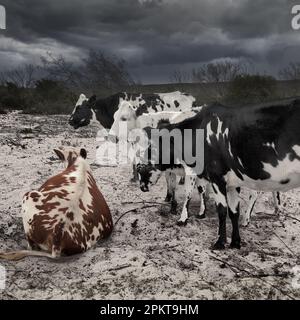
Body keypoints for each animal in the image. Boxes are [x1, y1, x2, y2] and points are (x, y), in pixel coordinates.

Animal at [137, 97, 300, 250]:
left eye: (150, 149)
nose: (142, 187)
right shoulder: (230, 181)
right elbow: (232, 211)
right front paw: (234, 242)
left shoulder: (212, 176)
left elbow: (215, 206)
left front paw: (216, 239)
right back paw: (278, 211)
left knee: (255, 193)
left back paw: (247, 219)